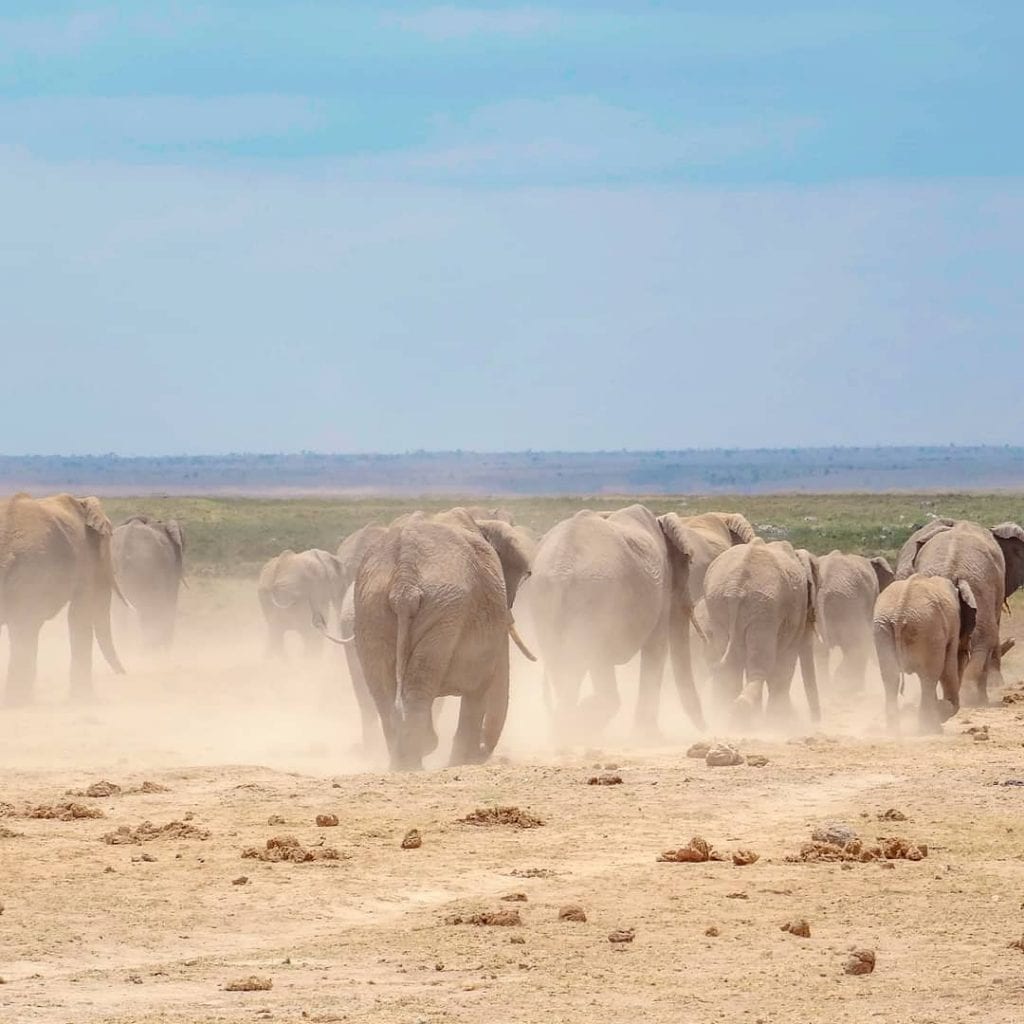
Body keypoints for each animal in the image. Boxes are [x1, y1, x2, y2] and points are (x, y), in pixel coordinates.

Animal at [0, 492, 126, 705]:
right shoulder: (84, 555)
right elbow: (79, 614)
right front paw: (85, 699)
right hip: (30, 569)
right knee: (25, 628)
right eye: (109, 538)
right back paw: (18, 701)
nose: (124, 675)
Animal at [353, 508, 534, 770]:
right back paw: (417, 759)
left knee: (384, 689)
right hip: (441, 611)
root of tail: (404, 581)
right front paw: (461, 762)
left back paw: (403, 764)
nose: (483, 752)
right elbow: (479, 686)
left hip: (373, 608)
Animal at [526, 504, 706, 741]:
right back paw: (574, 724)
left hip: (544, 599)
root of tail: (562, 568)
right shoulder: (661, 590)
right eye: (687, 566)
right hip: (597, 599)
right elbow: (656, 647)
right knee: (589, 662)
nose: (706, 727)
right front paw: (650, 736)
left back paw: (568, 728)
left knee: (564, 663)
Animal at [694, 539, 821, 726]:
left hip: (718, 604)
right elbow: (785, 662)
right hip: (763, 608)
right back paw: (742, 712)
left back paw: (729, 716)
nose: (816, 721)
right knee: (761, 664)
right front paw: (782, 720)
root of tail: (736, 587)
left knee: (730, 662)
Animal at [873, 574, 977, 733]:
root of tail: (899, 614)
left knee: (891, 676)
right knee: (929, 677)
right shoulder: (953, 627)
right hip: (928, 630)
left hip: (883, 629)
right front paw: (943, 710)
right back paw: (929, 729)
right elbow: (948, 669)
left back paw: (895, 730)